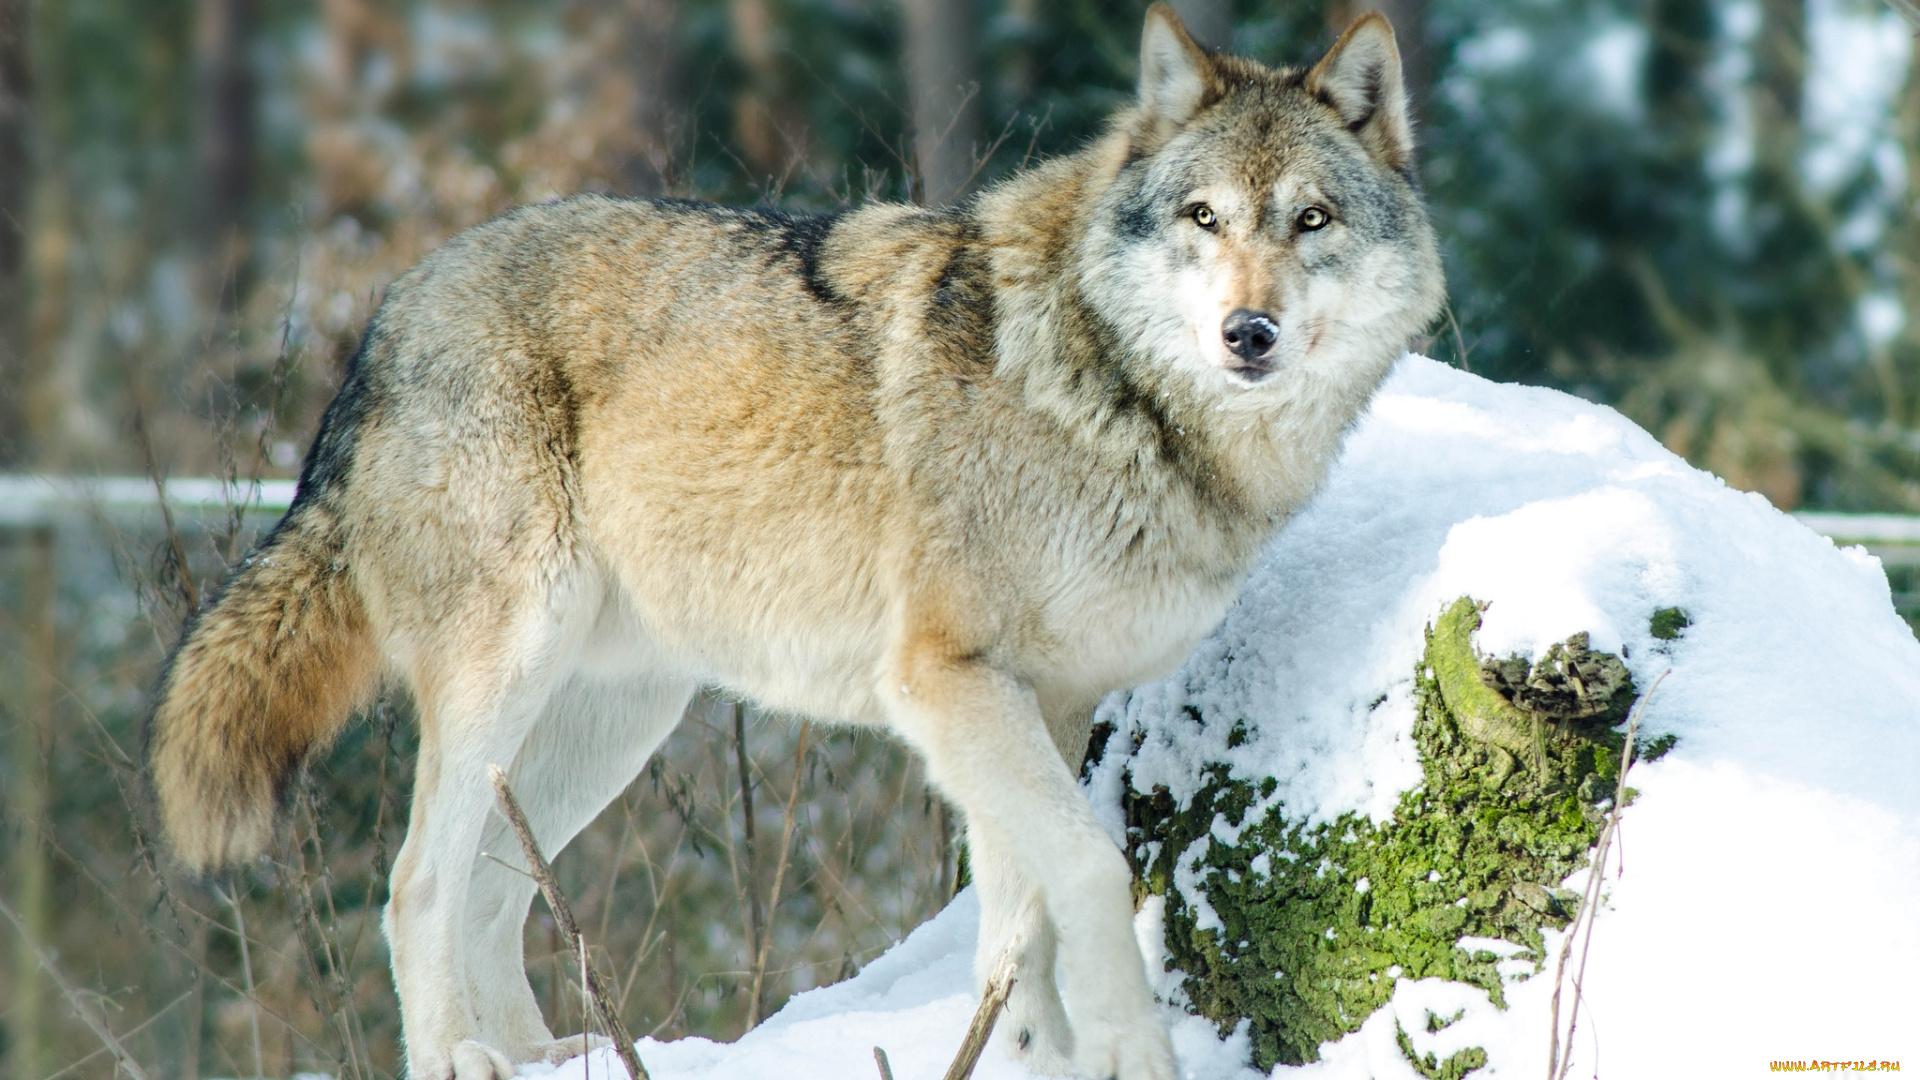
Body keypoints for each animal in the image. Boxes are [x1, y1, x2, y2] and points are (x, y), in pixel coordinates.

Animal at [145, 8, 1443, 1076]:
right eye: (1203, 217)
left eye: (1311, 220)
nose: (1248, 333)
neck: (1107, 390)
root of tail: (393, 312)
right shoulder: (945, 682)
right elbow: (1087, 870)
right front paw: (1129, 1056)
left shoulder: (1045, 701)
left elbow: (1016, 931)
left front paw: (1030, 1056)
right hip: (508, 677)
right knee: (418, 885)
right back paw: (462, 1059)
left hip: (610, 723)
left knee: (493, 894)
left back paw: (545, 1058)